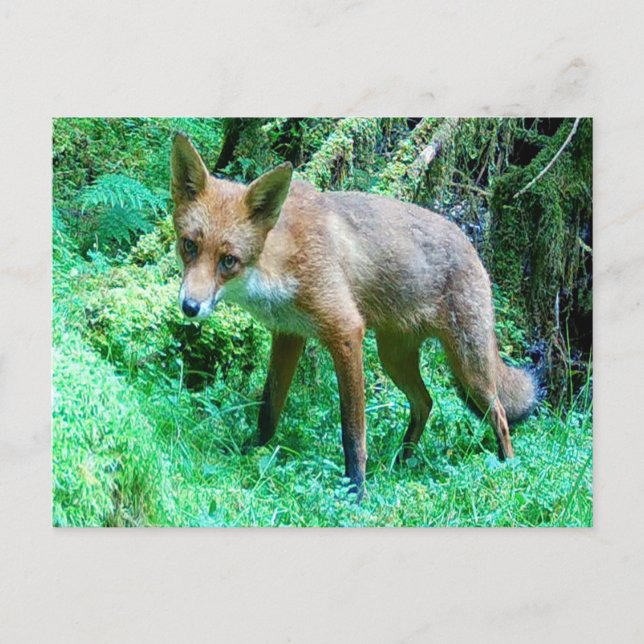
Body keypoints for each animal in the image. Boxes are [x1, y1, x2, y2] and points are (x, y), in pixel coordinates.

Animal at [170, 132, 537, 499]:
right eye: (189, 245)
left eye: (228, 260)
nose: (190, 307)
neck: (284, 257)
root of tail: (471, 245)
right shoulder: (289, 335)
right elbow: (269, 409)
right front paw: (252, 451)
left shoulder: (346, 331)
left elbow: (352, 431)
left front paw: (356, 491)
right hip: (394, 359)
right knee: (426, 403)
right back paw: (403, 460)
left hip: (468, 366)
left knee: (499, 415)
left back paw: (508, 469)